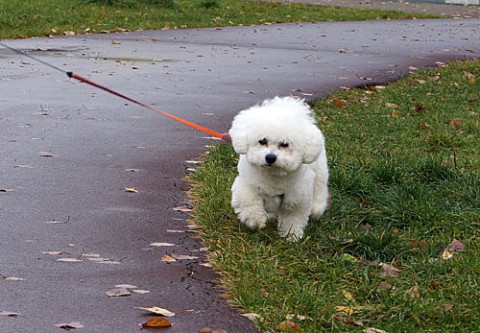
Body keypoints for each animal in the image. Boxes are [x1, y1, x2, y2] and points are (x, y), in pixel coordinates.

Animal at [230, 96, 330, 241]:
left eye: (285, 144)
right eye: (262, 141)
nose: (270, 157)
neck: (273, 175)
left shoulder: (297, 197)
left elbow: (293, 217)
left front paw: (291, 235)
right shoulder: (246, 184)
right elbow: (249, 200)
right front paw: (255, 219)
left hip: (320, 172)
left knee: (319, 189)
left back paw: (316, 209)